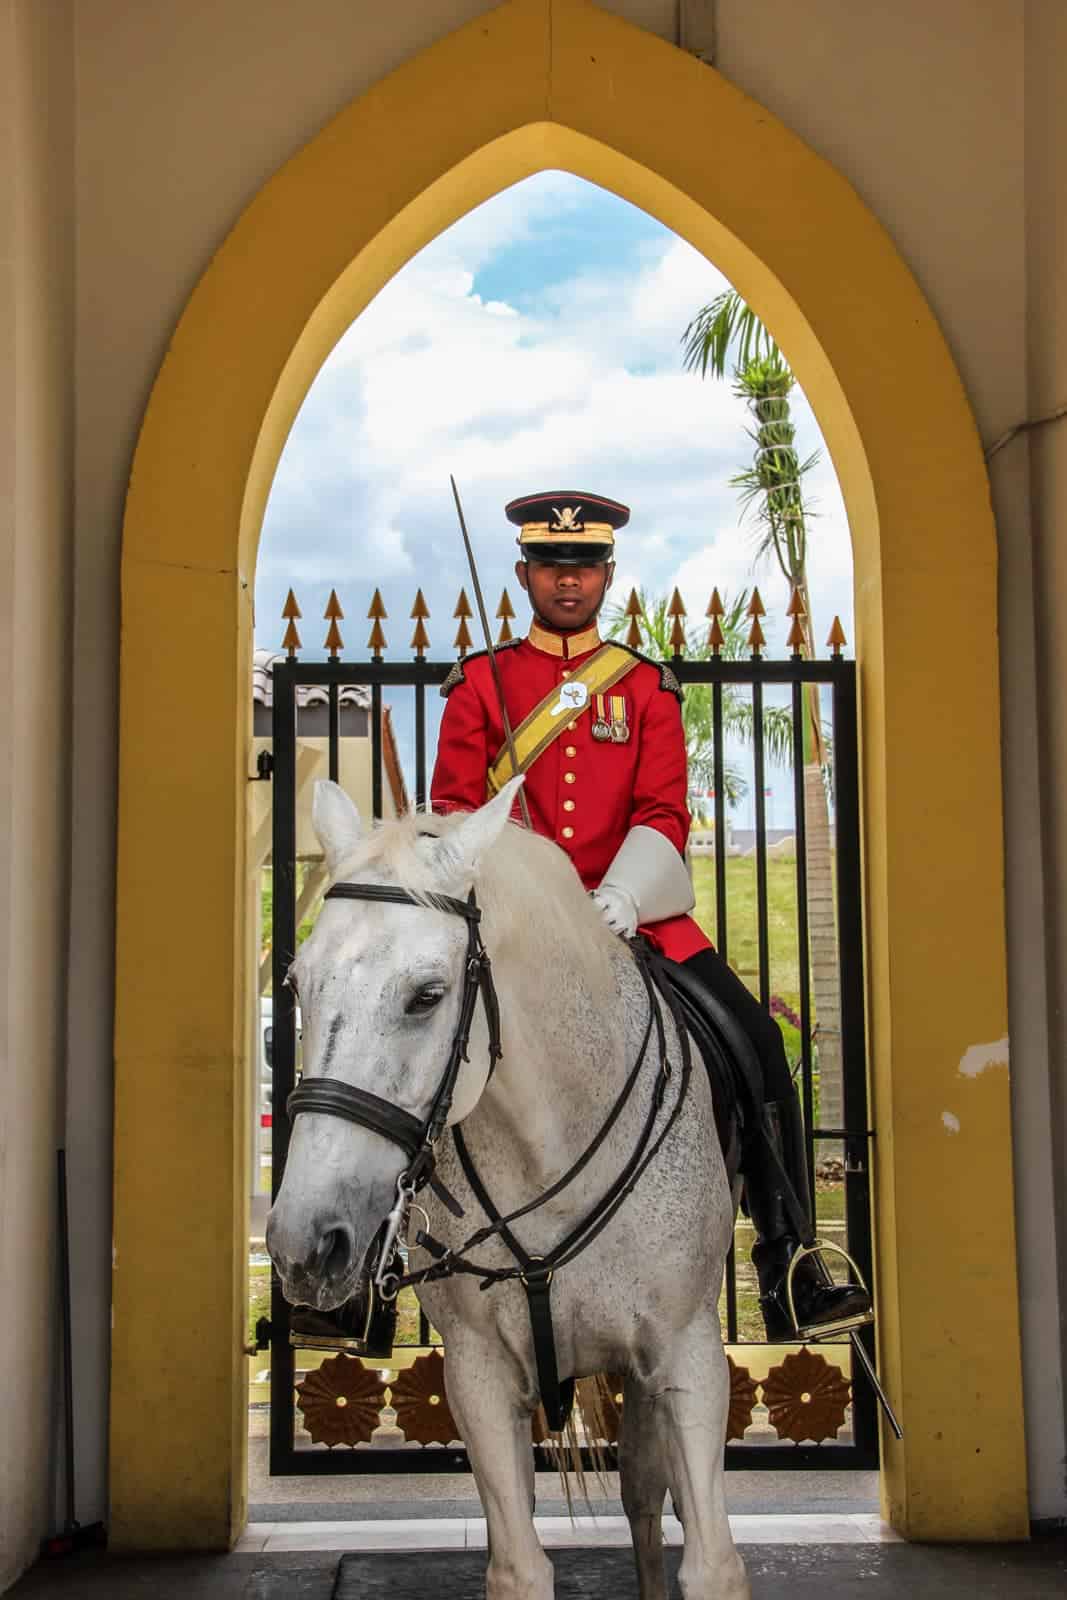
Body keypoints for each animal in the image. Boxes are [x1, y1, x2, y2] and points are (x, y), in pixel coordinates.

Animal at [267, 768, 751, 1593]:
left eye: (426, 996)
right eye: (299, 982)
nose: (302, 1244)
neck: (546, 1146)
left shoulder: (684, 1355)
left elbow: (711, 1563)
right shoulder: (479, 1376)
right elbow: (518, 1566)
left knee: (644, 1499)